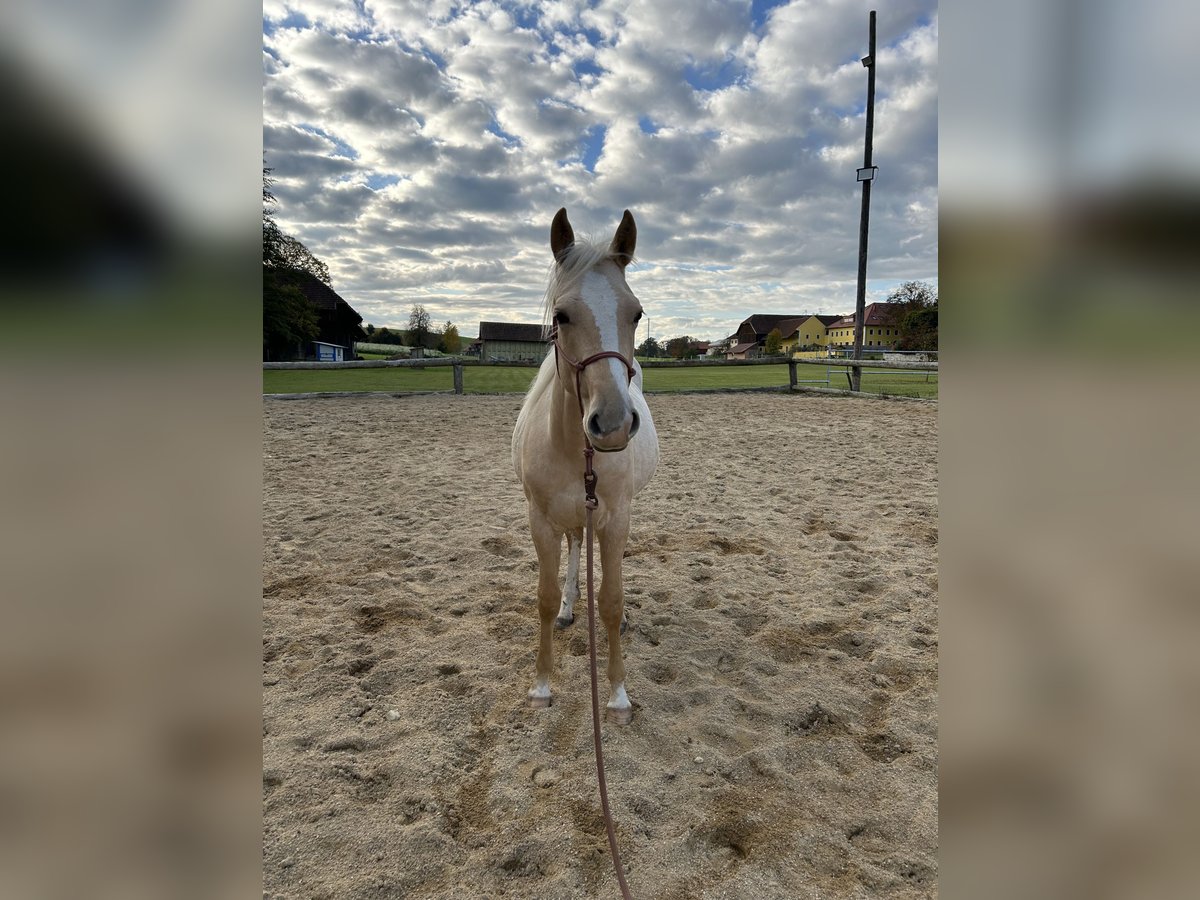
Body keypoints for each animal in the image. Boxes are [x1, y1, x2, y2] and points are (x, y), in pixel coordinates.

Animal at [512, 208, 659, 725]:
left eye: (636, 313)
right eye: (561, 315)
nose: (612, 424)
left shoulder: (616, 519)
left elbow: (611, 602)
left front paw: (617, 695)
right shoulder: (540, 520)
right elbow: (542, 597)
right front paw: (540, 686)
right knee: (576, 546)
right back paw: (571, 605)